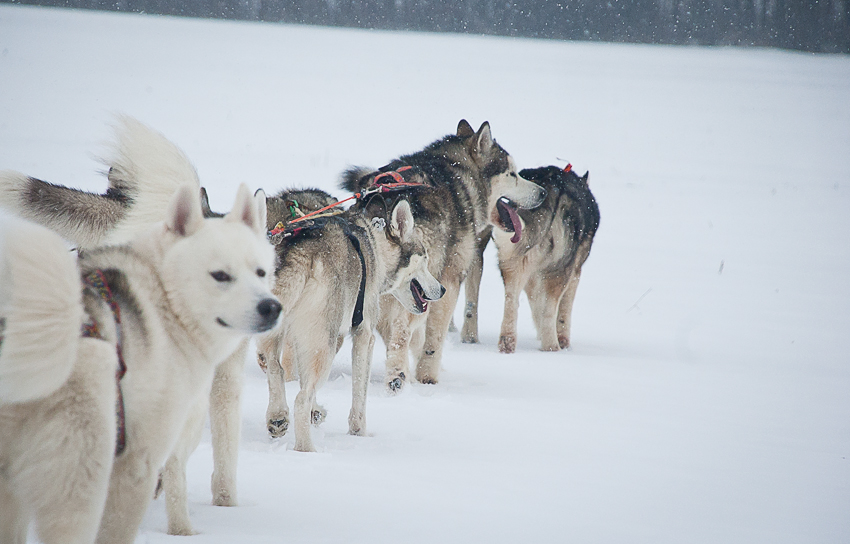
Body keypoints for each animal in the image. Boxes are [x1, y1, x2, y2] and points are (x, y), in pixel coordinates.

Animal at [256, 187, 444, 450]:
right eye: (424, 258)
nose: (442, 289)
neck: (374, 245)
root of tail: (301, 253)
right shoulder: (364, 335)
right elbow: (359, 394)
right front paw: (359, 433)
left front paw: (316, 412)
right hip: (321, 344)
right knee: (301, 399)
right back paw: (306, 450)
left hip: (287, 337)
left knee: (276, 369)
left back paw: (277, 417)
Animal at [340, 120, 544, 392]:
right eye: (512, 173)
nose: (542, 192)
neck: (461, 172)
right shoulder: (447, 282)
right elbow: (432, 339)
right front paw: (427, 376)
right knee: (401, 334)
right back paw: (398, 377)